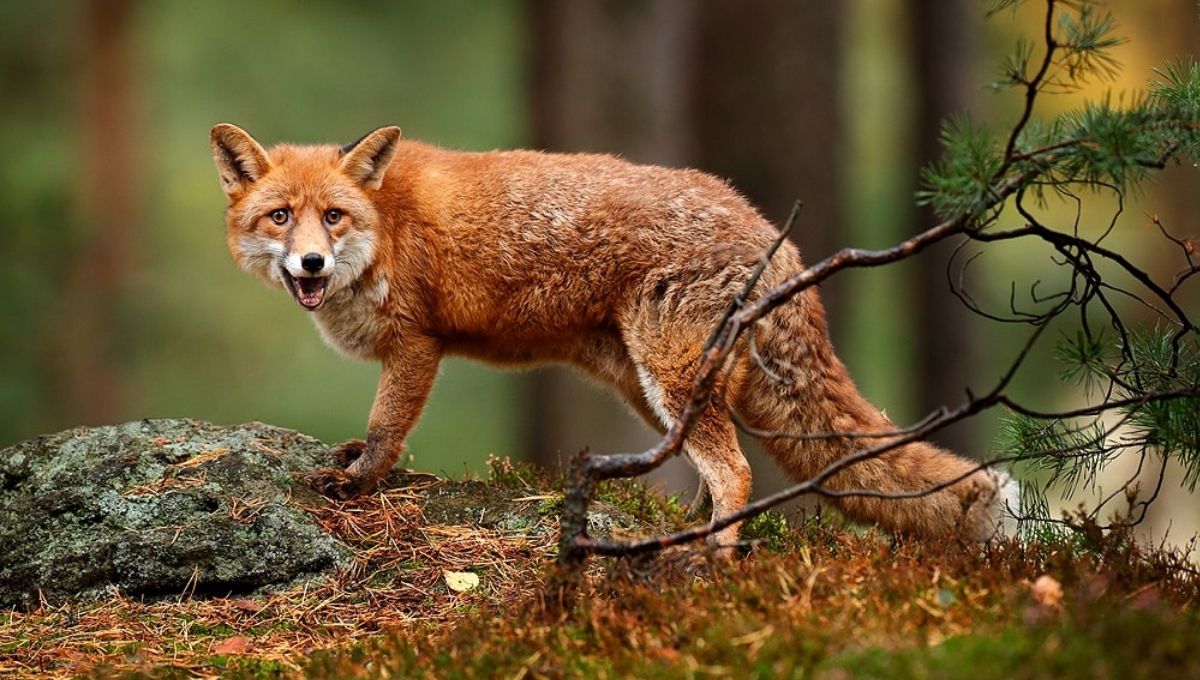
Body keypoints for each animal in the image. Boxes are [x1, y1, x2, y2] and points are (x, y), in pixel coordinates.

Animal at [210, 123, 1018, 548]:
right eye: (280, 217)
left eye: (333, 217)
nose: (311, 263)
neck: (385, 228)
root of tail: (775, 234)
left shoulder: (416, 344)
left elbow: (387, 430)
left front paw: (356, 483)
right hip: (651, 388)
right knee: (719, 470)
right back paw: (687, 532)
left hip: (671, 376)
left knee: (737, 473)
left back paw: (710, 559)